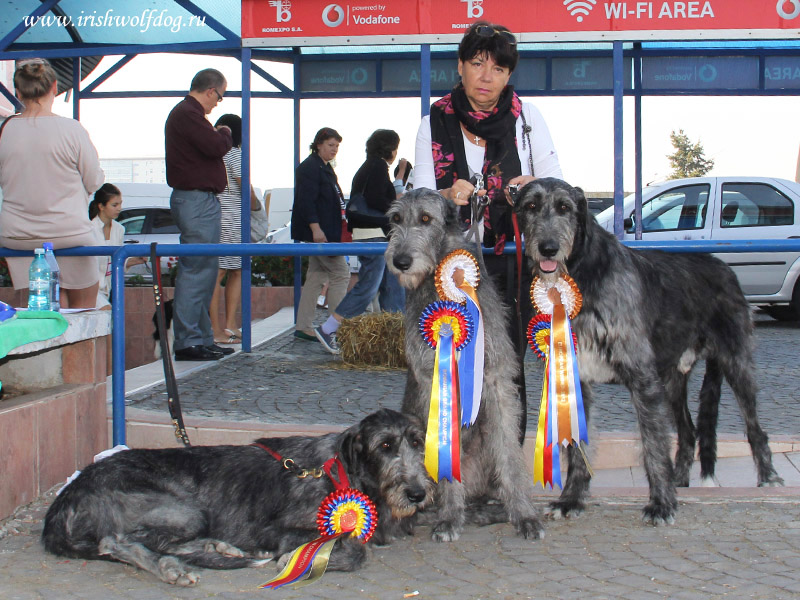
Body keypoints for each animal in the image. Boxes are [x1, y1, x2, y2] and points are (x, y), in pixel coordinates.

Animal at [42, 408, 432, 584]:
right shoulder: (276, 528)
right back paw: (171, 568)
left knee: (159, 541)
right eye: (385, 446)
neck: (342, 471)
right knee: (118, 541)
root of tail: (67, 496)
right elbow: (353, 550)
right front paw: (288, 558)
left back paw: (218, 547)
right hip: (182, 509)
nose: (418, 494)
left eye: (417, 442)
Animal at [384, 189, 548, 544]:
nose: (400, 261)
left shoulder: (495, 378)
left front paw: (524, 514)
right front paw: (449, 518)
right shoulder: (433, 379)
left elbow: (509, 450)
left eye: (426, 219)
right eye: (396, 219)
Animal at [512, 177, 780, 524]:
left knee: (755, 428)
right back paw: (680, 479)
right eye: (530, 206)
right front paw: (571, 499)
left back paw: (768, 478)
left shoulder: (642, 378)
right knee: (688, 431)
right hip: (673, 377)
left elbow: (653, 445)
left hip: (736, 362)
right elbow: (578, 446)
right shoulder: (575, 376)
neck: (584, 271)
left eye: (564, 207)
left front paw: (661, 504)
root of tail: (724, 267)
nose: (548, 248)